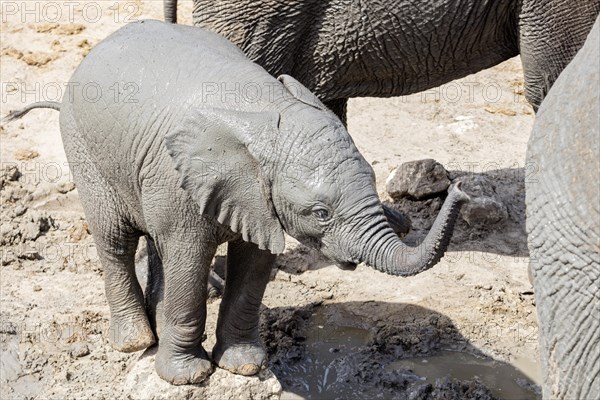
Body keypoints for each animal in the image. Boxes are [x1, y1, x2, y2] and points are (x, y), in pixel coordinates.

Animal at [7, 21, 468, 384]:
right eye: (320, 213)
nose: (460, 189)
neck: (268, 113)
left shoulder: (255, 199)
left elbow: (255, 263)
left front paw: (244, 367)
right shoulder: (183, 178)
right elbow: (189, 259)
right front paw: (188, 377)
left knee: (155, 241)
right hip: (84, 148)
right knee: (116, 240)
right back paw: (136, 341)